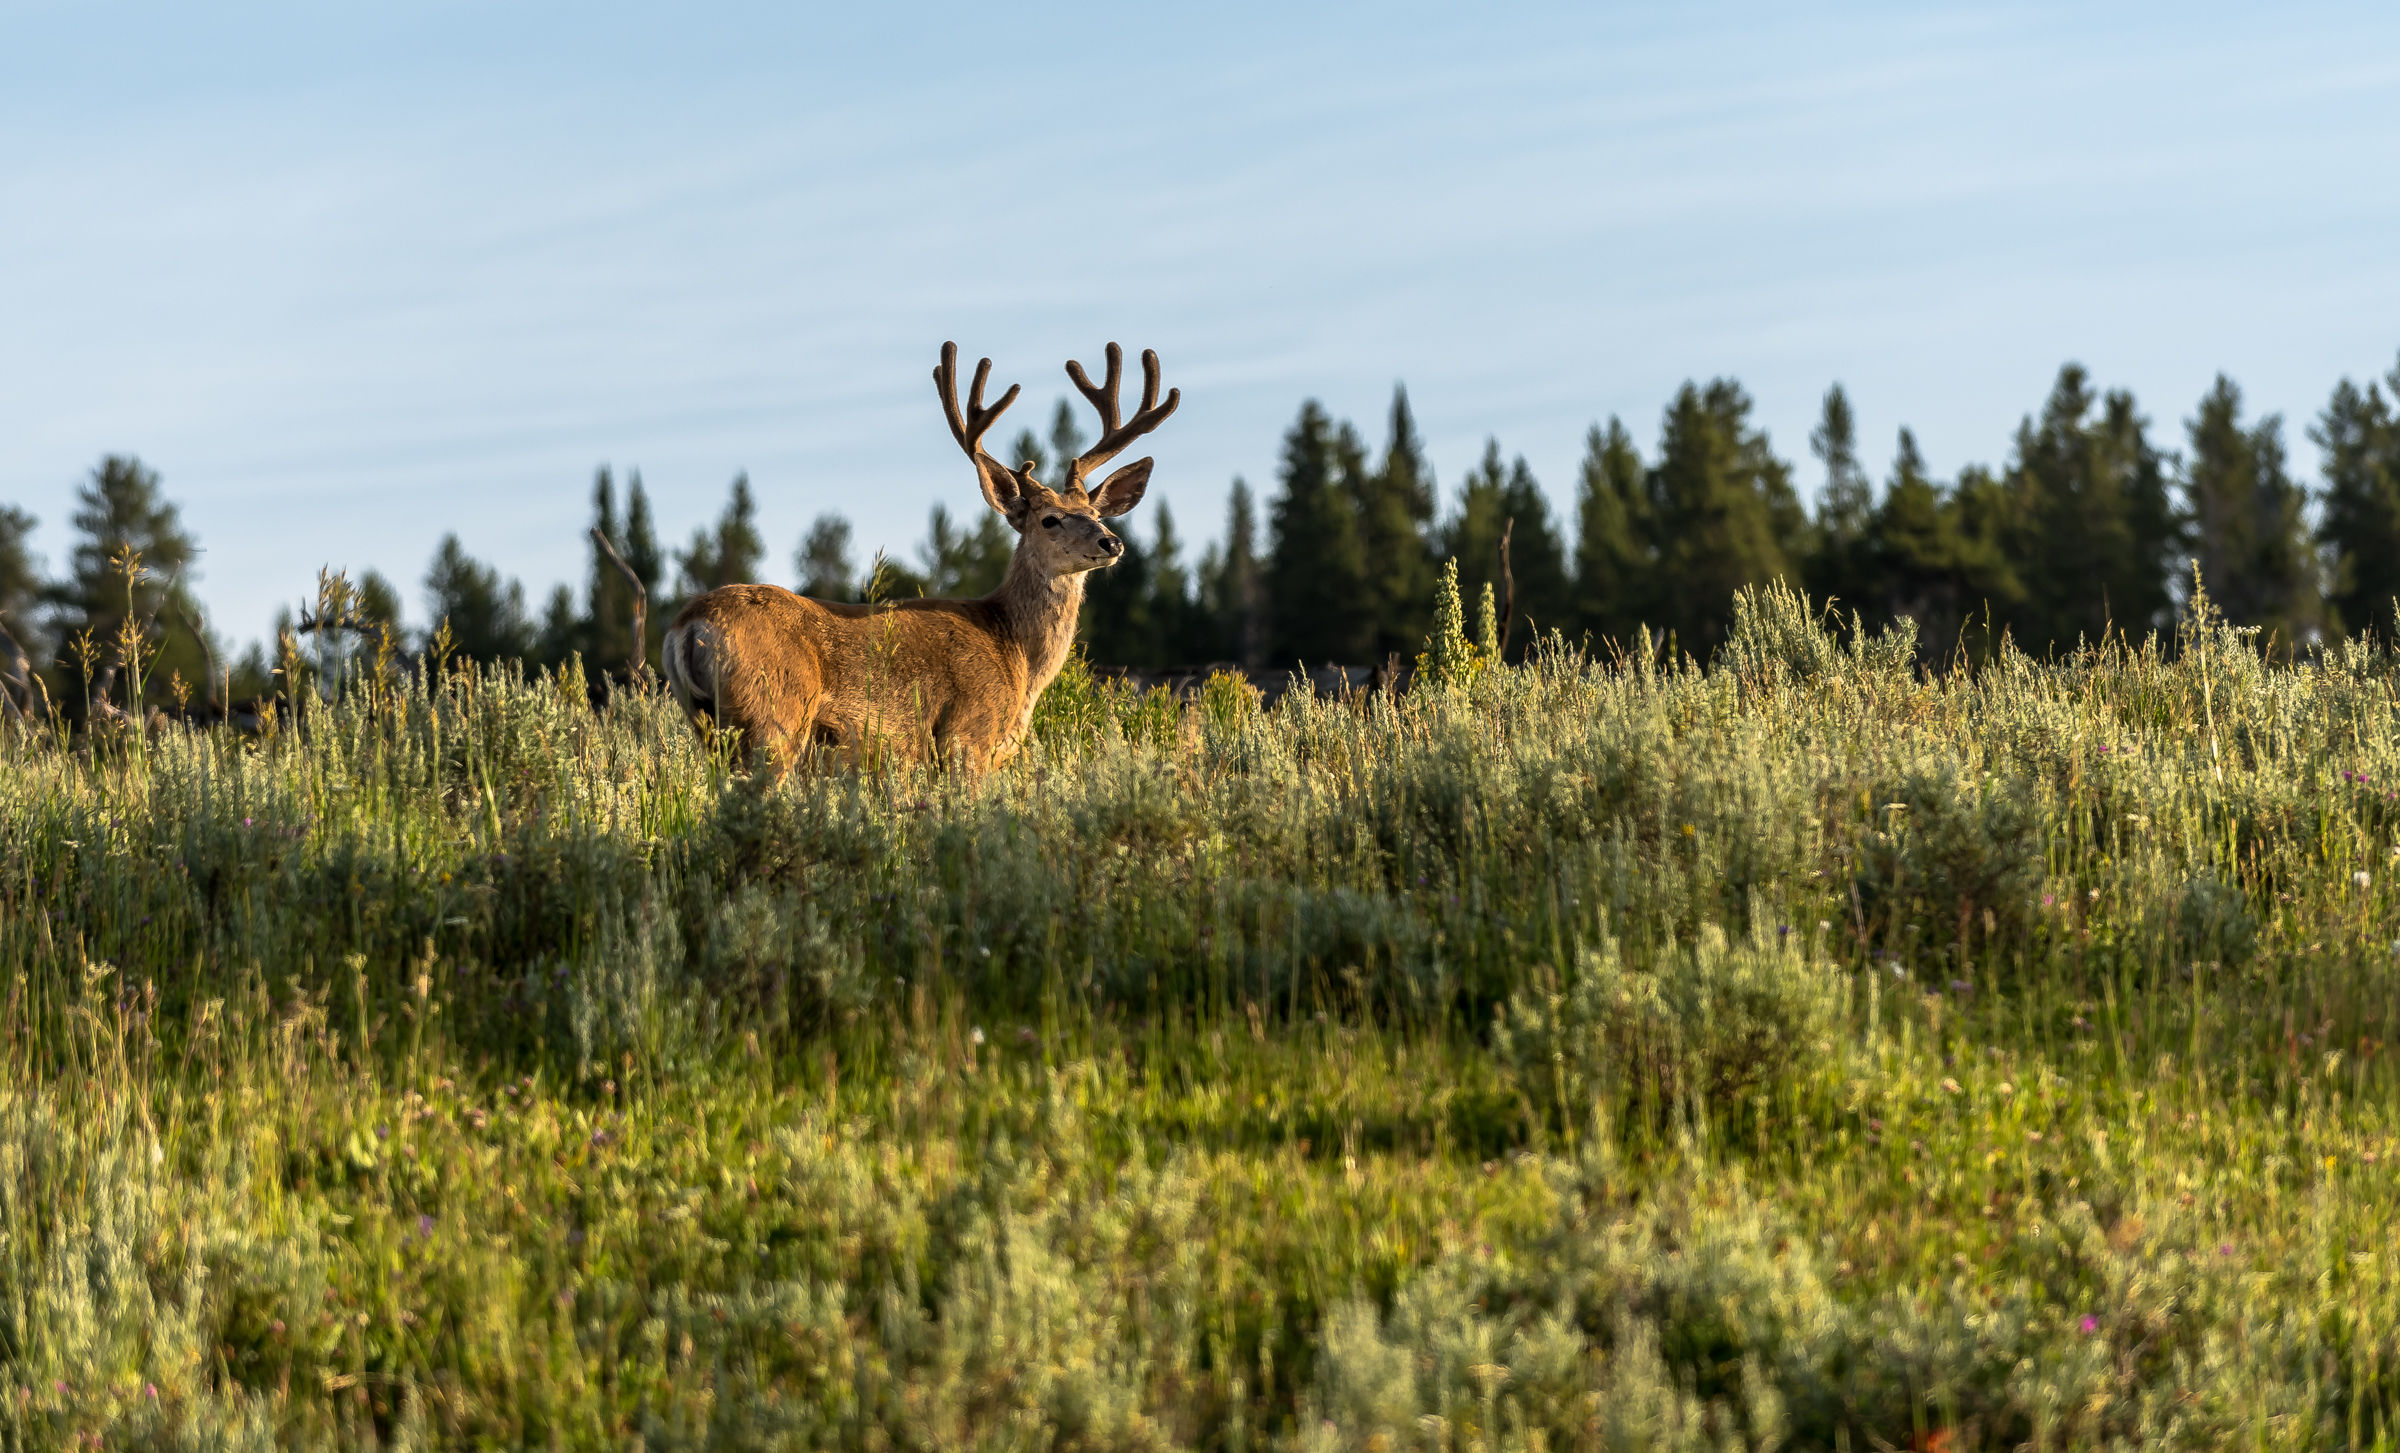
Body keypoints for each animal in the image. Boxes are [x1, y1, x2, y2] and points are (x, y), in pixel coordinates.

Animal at [659, 341, 1179, 778]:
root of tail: (689, 623)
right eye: (1049, 520)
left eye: (1094, 512)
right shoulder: (966, 736)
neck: (1014, 653)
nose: (1111, 543)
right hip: (774, 718)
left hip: (712, 728)